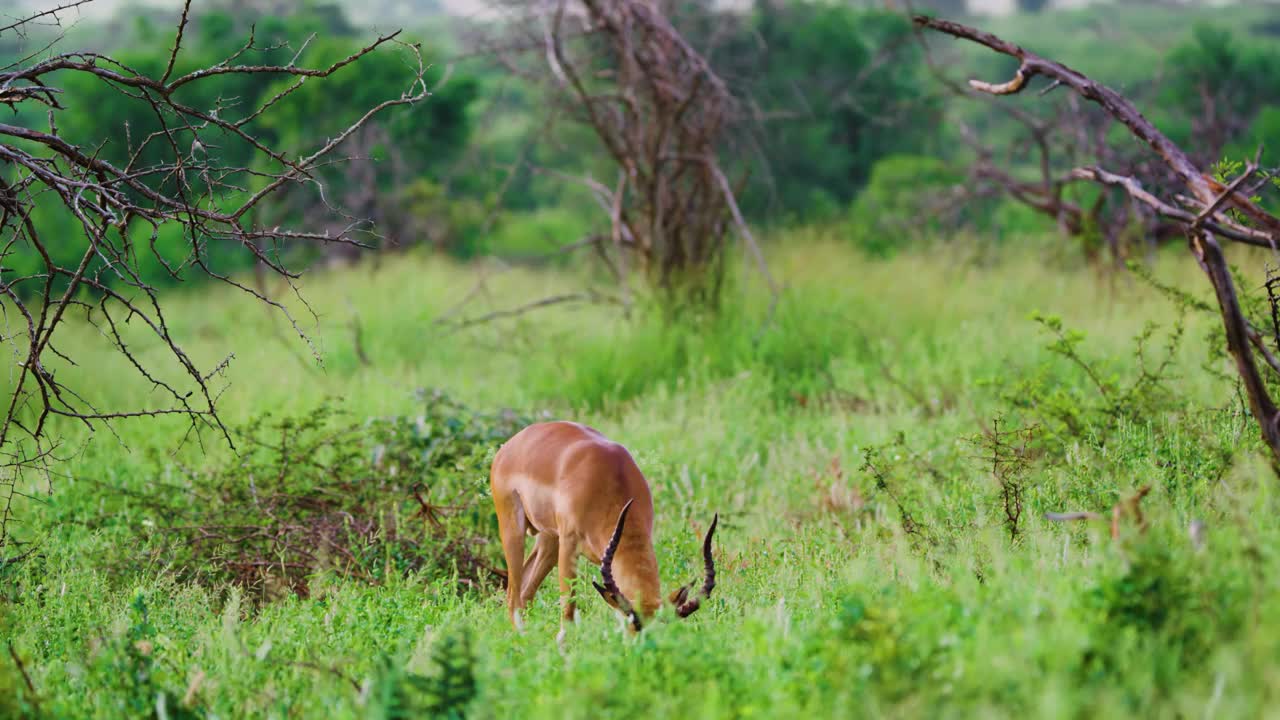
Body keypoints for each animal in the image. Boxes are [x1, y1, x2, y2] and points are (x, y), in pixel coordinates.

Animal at [486, 417, 716, 630]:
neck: (609, 477)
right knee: (513, 597)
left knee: (526, 591)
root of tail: (510, 445)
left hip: (549, 538)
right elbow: (568, 609)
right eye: (634, 623)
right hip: (513, 529)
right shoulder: (569, 546)